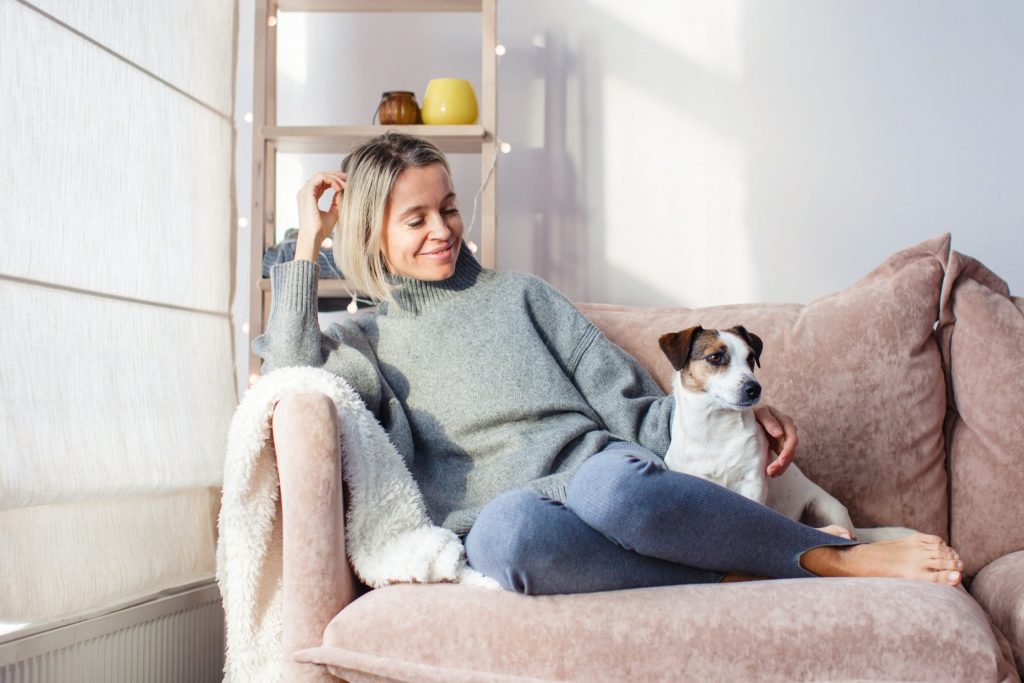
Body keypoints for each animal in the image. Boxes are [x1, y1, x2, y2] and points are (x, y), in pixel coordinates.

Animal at [659, 325, 917, 544]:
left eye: (750, 359)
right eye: (715, 357)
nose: (754, 389)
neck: (714, 429)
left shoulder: (752, 482)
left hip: (825, 506)